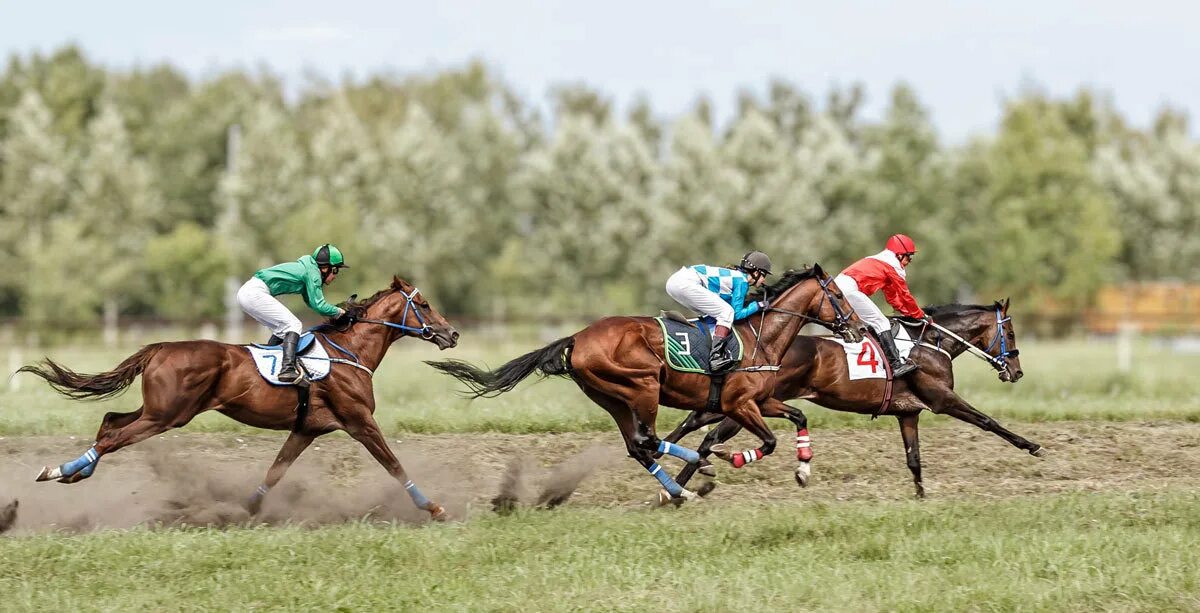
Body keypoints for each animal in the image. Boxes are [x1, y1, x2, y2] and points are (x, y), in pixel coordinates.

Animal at [18, 275, 458, 520]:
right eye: (423, 304)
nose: (452, 333)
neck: (348, 351)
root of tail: (160, 347)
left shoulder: (307, 429)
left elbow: (275, 472)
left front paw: (246, 510)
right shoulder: (359, 421)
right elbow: (394, 465)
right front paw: (433, 507)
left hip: (158, 409)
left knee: (110, 422)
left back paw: (75, 472)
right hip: (168, 415)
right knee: (113, 437)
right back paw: (59, 470)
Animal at [429, 267, 864, 503]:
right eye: (839, 295)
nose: (859, 329)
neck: (762, 336)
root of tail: (577, 337)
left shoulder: (758, 401)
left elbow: (799, 415)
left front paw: (803, 470)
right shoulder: (738, 404)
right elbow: (769, 441)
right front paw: (730, 457)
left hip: (612, 398)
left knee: (638, 446)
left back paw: (683, 487)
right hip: (643, 387)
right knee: (647, 440)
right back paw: (699, 469)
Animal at [662, 298, 1046, 499]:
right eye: (1011, 333)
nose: (1016, 371)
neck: (930, 344)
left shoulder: (908, 414)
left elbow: (914, 459)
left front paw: (921, 497)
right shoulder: (942, 399)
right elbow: (987, 421)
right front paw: (1033, 446)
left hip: (738, 403)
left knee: (696, 425)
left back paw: (673, 480)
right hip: (748, 405)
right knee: (710, 436)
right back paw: (680, 483)